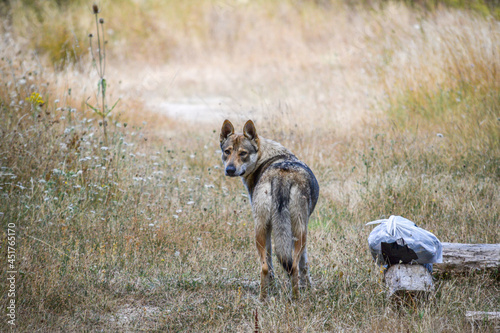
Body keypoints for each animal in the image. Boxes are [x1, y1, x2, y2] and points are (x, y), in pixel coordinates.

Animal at [220, 118, 320, 298]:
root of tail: (281, 176)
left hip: (262, 230)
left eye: (243, 153)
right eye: (227, 151)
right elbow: (304, 264)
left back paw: (264, 299)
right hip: (295, 232)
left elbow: (286, 265)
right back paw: (295, 299)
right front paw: (308, 288)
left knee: (267, 267)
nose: (230, 170)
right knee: (291, 267)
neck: (265, 157)